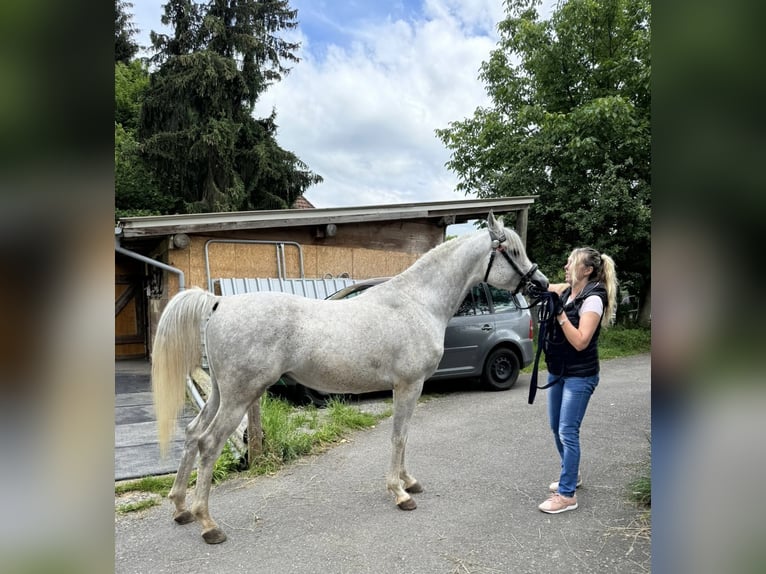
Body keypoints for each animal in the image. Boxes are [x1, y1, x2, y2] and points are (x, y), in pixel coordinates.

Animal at [150, 212, 548, 544]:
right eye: (512, 249)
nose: (542, 285)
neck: (418, 303)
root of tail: (221, 303)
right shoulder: (408, 385)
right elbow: (399, 437)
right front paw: (399, 493)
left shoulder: (410, 388)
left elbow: (404, 436)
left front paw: (408, 482)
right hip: (239, 396)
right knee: (209, 443)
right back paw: (208, 523)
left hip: (220, 392)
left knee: (193, 434)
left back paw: (181, 508)